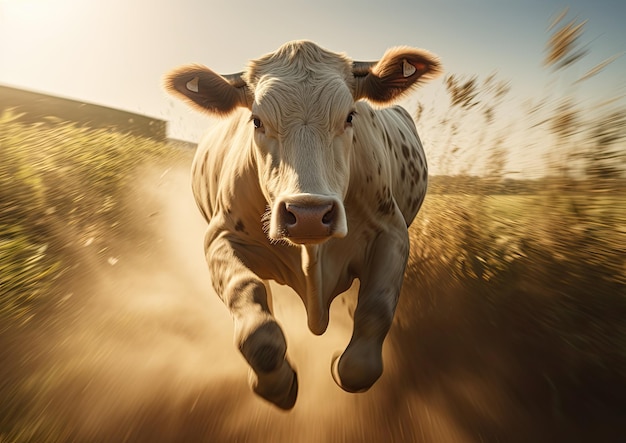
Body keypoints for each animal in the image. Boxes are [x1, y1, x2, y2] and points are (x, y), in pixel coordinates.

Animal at [165, 40, 438, 410]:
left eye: (349, 116)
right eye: (256, 120)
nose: (309, 213)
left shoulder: (391, 232)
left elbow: (373, 316)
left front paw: (341, 365)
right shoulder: (220, 237)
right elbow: (254, 316)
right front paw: (278, 385)